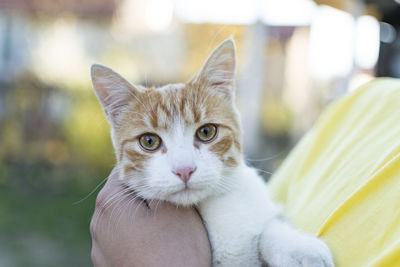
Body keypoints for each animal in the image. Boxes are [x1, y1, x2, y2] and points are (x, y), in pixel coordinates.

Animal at [90, 38, 334, 266]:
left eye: (206, 132)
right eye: (149, 141)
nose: (185, 170)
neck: (218, 207)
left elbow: (270, 224)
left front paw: (298, 248)